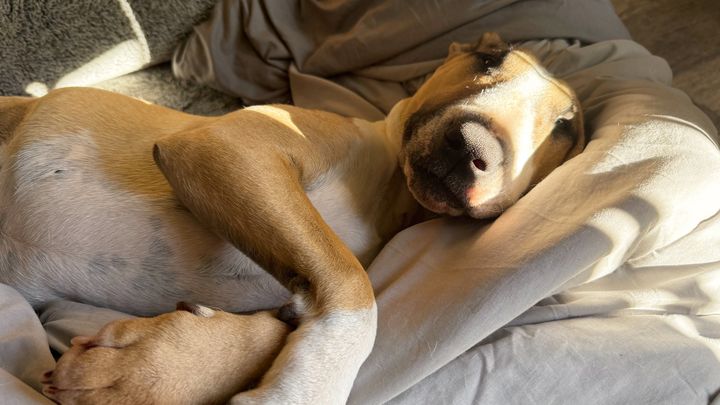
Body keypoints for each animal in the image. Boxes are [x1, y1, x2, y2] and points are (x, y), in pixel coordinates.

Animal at [0, 33, 584, 404]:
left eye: (566, 129)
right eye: (489, 57)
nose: (470, 147)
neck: (388, 189)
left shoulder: (295, 281)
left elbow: (284, 318)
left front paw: (144, 370)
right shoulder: (228, 145)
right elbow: (356, 286)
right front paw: (302, 391)